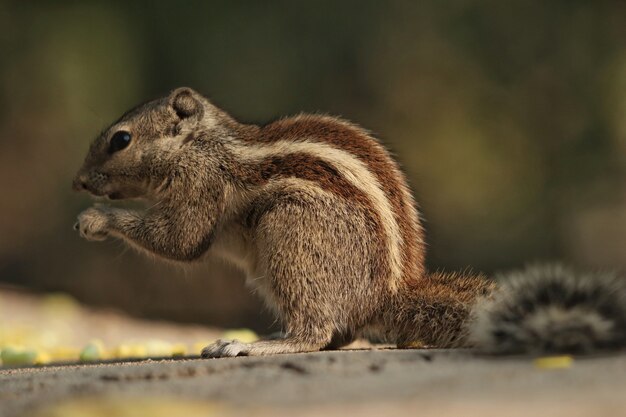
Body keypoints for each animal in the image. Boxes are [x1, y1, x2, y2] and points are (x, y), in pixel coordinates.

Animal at [73, 86, 624, 356]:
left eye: (121, 140)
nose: (77, 182)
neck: (202, 144)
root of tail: (387, 295)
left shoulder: (200, 184)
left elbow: (180, 241)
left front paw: (95, 219)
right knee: (338, 333)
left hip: (291, 234)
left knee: (316, 333)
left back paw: (256, 345)